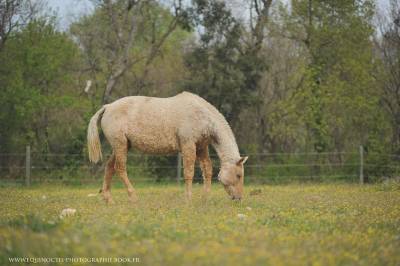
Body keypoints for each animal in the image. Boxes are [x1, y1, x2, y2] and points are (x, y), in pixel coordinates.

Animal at [88, 90, 247, 203]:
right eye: (238, 175)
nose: (239, 198)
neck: (202, 116)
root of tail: (108, 107)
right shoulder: (188, 146)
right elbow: (189, 172)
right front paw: (188, 198)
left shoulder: (201, 147)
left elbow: (207, 170)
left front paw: (205, 197)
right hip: (120, 145)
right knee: (120, 168)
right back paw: (133, 197)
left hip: (122, 146)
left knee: (110, 167)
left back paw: (109, 199)